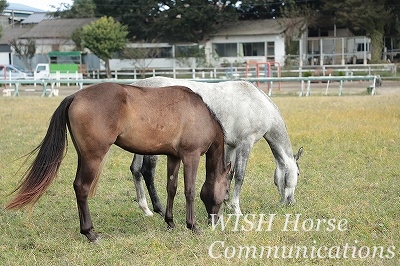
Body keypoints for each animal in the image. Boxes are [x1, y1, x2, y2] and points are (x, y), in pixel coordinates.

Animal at [5, 82, 231, 242]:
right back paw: (90, 233)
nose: (214, 220)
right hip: (93, 157)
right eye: (226, 190)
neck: (200, 112)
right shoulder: (191, 156)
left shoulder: (173, 156)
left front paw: (170, 222)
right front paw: (192, 226)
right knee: (82, 188)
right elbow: (189, 191)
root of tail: (75, 95)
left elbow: (171, 188)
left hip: (83, 156)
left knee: (78, 186)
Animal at [130, 76, 302, 215]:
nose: (291, 202)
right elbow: (239, 176)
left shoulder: (231, 146)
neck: (256, 103)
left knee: (136, 170)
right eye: (298, 174)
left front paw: (225, 203)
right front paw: (236, 209)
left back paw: (146, 209)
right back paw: (158, 209)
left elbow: (229, 173)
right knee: (147, 171)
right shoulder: (245, 143)